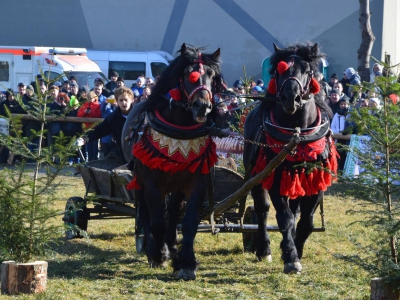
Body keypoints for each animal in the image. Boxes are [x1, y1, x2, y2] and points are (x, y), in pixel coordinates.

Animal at [123, 43, 223, 280]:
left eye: (211, 75)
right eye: (188, 74)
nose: (202, 106)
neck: (179, 132)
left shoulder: (197, 183)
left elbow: (188, 223)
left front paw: (186, 263)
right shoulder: (151, 184)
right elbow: (157, 222)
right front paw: (158, 255)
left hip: (176, 186)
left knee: (174, 211)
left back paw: (172, 246)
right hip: (140, 183)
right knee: (146, 214)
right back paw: (153, 248)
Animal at [242, 42, 340, 274]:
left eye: (308, 71)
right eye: (279, 70)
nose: (290, 98)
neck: (298, 134)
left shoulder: (316, 181)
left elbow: (307, 221)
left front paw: (297, 248)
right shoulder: (275, 178)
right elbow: (284, 217)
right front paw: (291, 257)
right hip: (256, 176)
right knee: (262, 210)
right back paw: (264, 248)